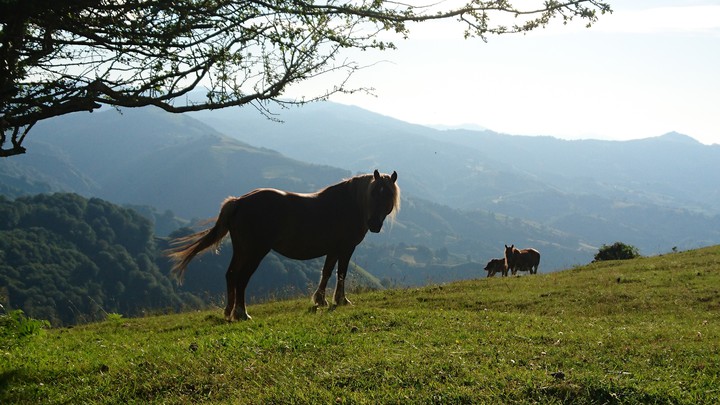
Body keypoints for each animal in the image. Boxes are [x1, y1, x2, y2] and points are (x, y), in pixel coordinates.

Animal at [167, 170, 400, 321]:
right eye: (374, 193)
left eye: (388, 194)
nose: (374, 224)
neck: (350, 204)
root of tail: (239, 201)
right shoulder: (345, 248)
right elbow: (341, 273)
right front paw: (341, 300)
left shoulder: (333, 250)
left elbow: (326, 272)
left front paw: (320, 300)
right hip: (255, 252)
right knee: (241, 278)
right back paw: (242, 313)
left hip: (241, 250)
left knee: (231, 275)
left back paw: (229, 311)